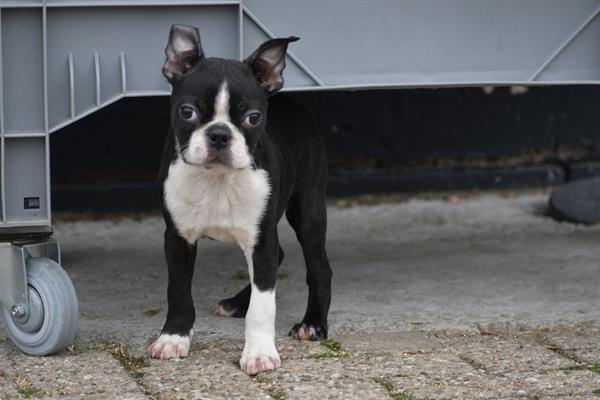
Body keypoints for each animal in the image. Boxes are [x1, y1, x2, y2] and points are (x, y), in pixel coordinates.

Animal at [146, 25, 332, 376]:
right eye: (187, 112)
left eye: (253, 118)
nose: (219, 134)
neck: (217, 179)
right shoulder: (177, 238)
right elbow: (178, 290)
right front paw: (173, 338)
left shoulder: (261, 240)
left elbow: (263, 303)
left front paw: (259, 352)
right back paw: (235, 303)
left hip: (308, 210)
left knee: (319, 267)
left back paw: (313, 323)